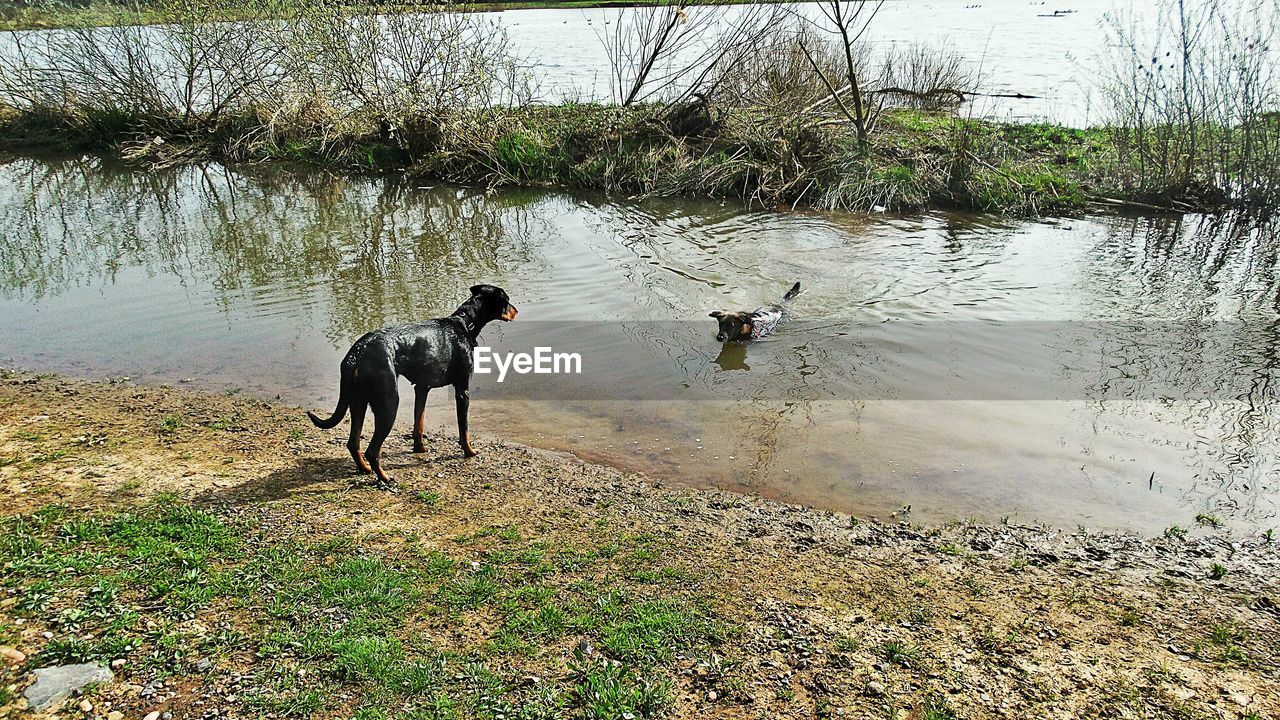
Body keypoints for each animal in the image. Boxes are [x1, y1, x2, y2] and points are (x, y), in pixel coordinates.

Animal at [307, 283, 517, 484]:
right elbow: (463, 428)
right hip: (389, 404)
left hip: (358, 401)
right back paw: (384, 478)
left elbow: (419, 423)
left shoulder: (422, 388)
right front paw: (469, 452)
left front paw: (419, 448)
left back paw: (365, 469)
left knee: (353, 443)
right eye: (506, 300)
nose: (516, 311)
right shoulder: (462, 390)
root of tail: (357, 351)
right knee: (372, 450)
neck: (465, 323)